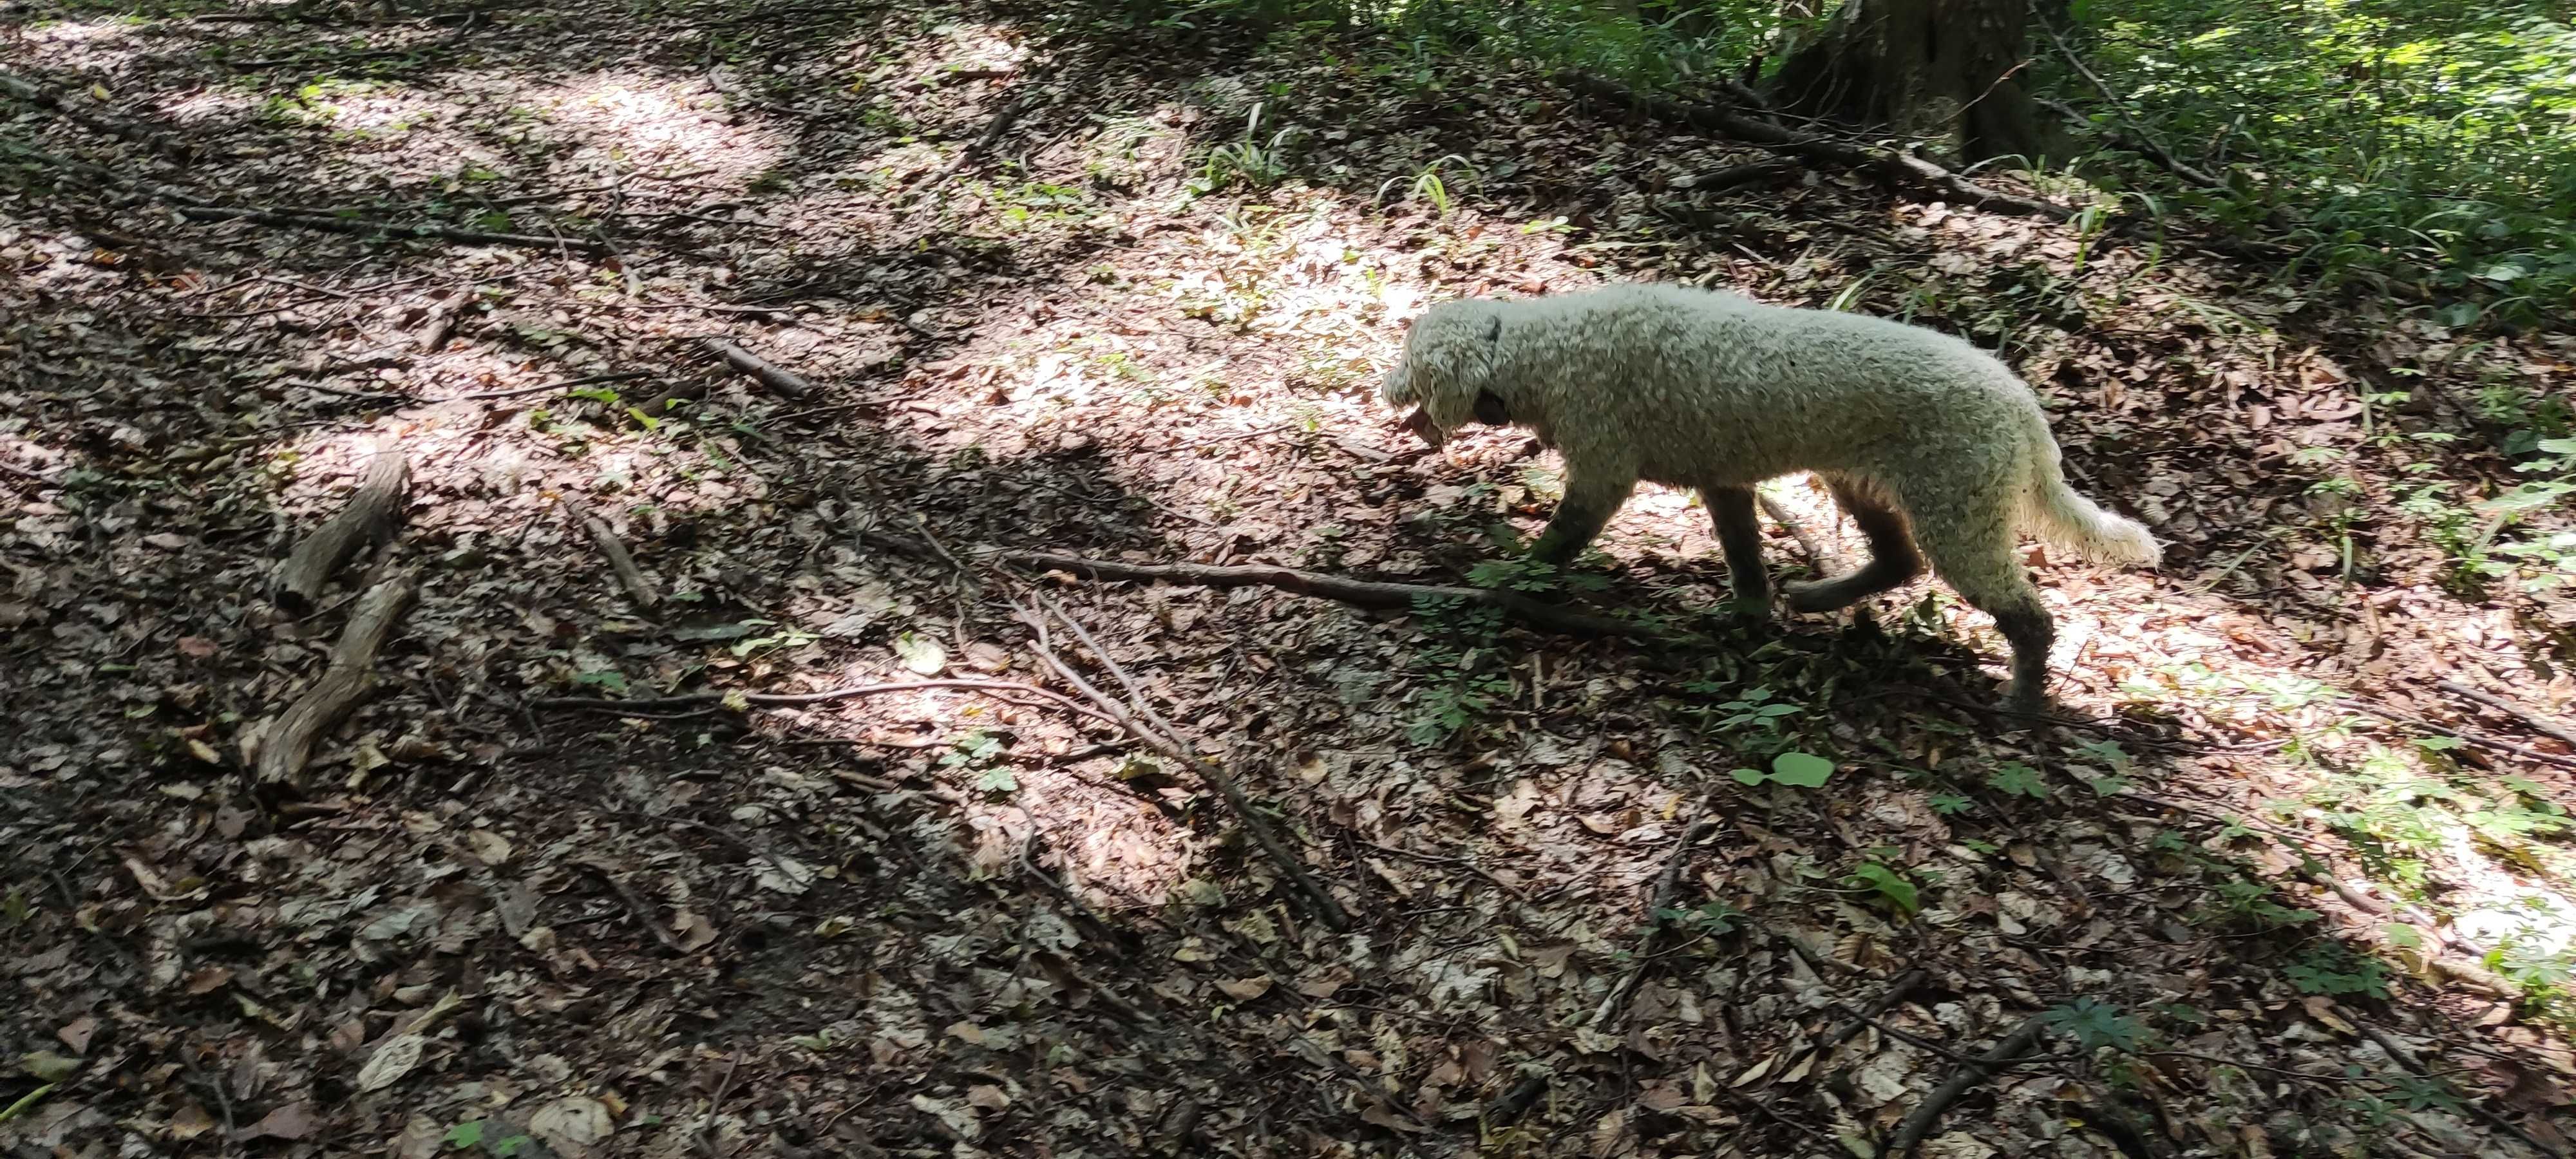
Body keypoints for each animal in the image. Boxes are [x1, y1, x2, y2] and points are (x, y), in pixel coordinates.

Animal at [1381, 285, 2164, 711]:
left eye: (1411, 359)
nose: (1381, 386)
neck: (1538, 352)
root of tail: (2025, 408)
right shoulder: (1723, 482)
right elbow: (1746, 562)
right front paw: (1748, 616)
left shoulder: (1603, 473)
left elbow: (1554, 544)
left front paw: (1508, 582)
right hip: (1864, 483)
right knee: (1898, 562)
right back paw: (1817, 597)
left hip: (1959, 517)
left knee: (2029, 618)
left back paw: (2022, 704)